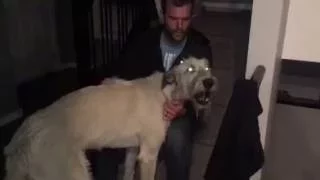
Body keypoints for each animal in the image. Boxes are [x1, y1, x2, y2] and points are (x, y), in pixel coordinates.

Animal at [3, 56, 218, 180]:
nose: (209, 82)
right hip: (72, 173)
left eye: (207, 68)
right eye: (190, 69)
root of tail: (24, 135)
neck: (165, 92)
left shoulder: (133, 149)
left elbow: (128, 171)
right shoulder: (149, 154)